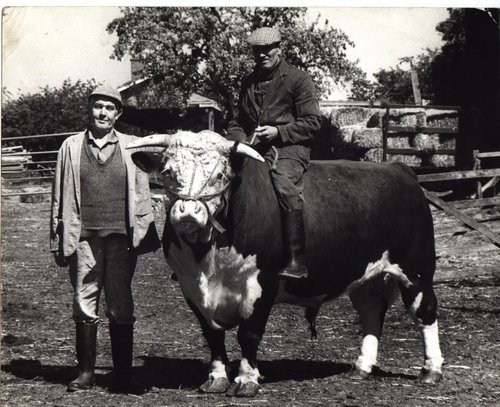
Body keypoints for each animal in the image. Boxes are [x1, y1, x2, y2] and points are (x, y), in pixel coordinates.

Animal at [127, 131, 444, 398]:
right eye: (168, 173)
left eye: (219, 174)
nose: (188, 213)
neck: (208, 257)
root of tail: (398, 168)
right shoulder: (191, 286)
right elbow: (212, 334)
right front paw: (216, 378)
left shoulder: (261, 282)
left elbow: (249, 333)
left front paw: (246, 379)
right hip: (367, 278)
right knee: (371, 313)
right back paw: (361, 367)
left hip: (416, 269)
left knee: (425, 312)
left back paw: (431, 370)